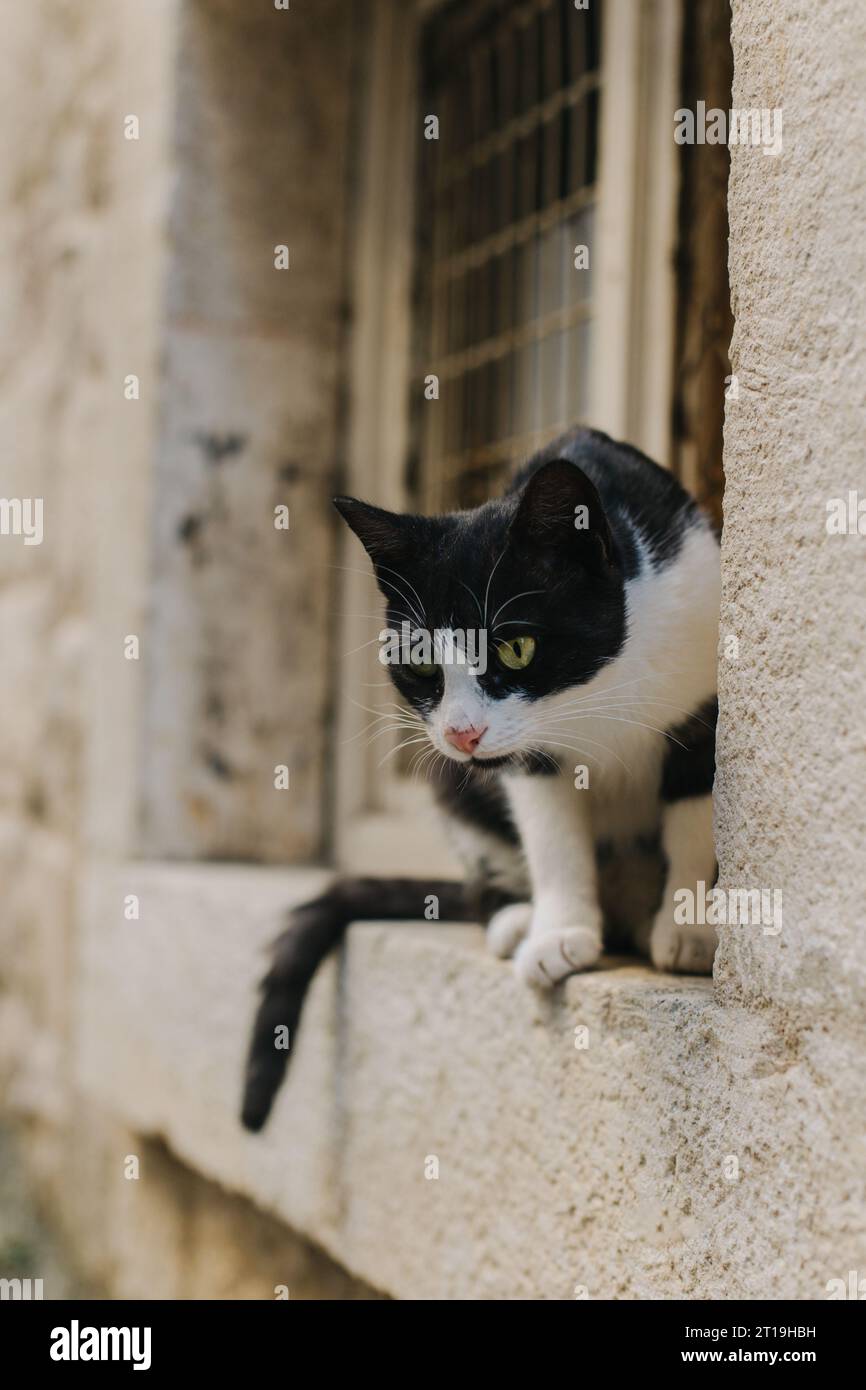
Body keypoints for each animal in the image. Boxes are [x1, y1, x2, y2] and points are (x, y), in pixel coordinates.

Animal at [240, 422, 722, 1128]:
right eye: (418, 661)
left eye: (515, 647)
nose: (462, 733)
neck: (597, 690)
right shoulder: (524, 757)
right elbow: (551, 834)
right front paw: (558, 933)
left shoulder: (702, 689)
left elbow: (694, 816)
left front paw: (689, 928)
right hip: (451, 785)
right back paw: (516, 920)